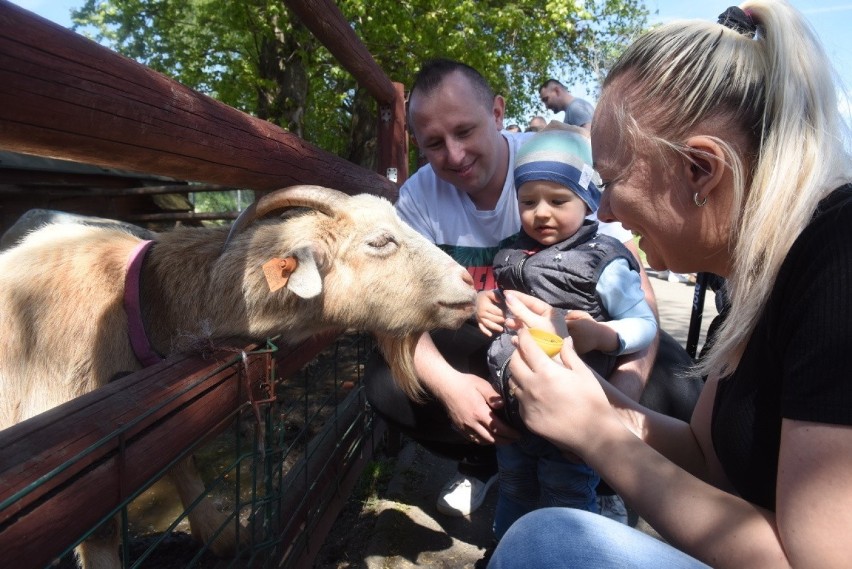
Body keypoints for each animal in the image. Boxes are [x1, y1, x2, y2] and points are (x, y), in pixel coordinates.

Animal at [0, 184, 476, 564]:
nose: (470, 284)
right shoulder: (77, 477)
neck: (138, 304)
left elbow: (186, 466)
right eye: (379, 241)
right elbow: (101, 535)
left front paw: (226, 536)